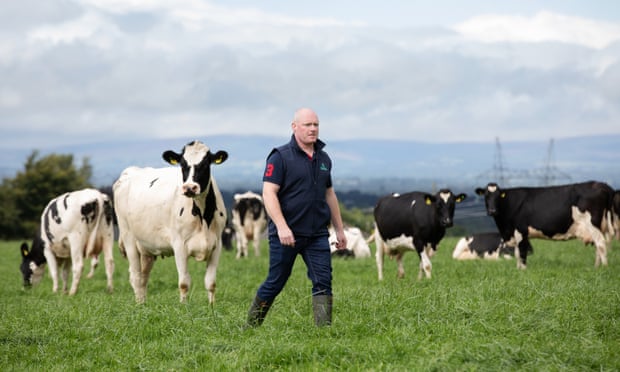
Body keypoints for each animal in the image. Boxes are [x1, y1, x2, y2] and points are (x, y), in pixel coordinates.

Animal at [113, 141, 228, 304]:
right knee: (135, 275)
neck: (203, 216)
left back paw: (143, 304)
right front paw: (184, 306)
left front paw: (211, 306)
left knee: (143, 277)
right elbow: (184, 282)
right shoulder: (179, 244)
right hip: (128, 236)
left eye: (205, 164)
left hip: (146, 246)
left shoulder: (217, 244)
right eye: (182, 164)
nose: (189, 187)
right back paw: (138, 304)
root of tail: (130, 171)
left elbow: (211, 282)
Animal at [474, 182, 616, 268]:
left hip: (592, 224)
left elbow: (522, 253)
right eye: (486, 196)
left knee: (601, 244)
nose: (492, 210)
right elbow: (517, 253)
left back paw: (603, 268)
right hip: (601, 226)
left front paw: (522, 271)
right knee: (598, 246)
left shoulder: (521, 230)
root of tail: (602, 185)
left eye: (498, 196)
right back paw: (596, 267)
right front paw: (518, 269)